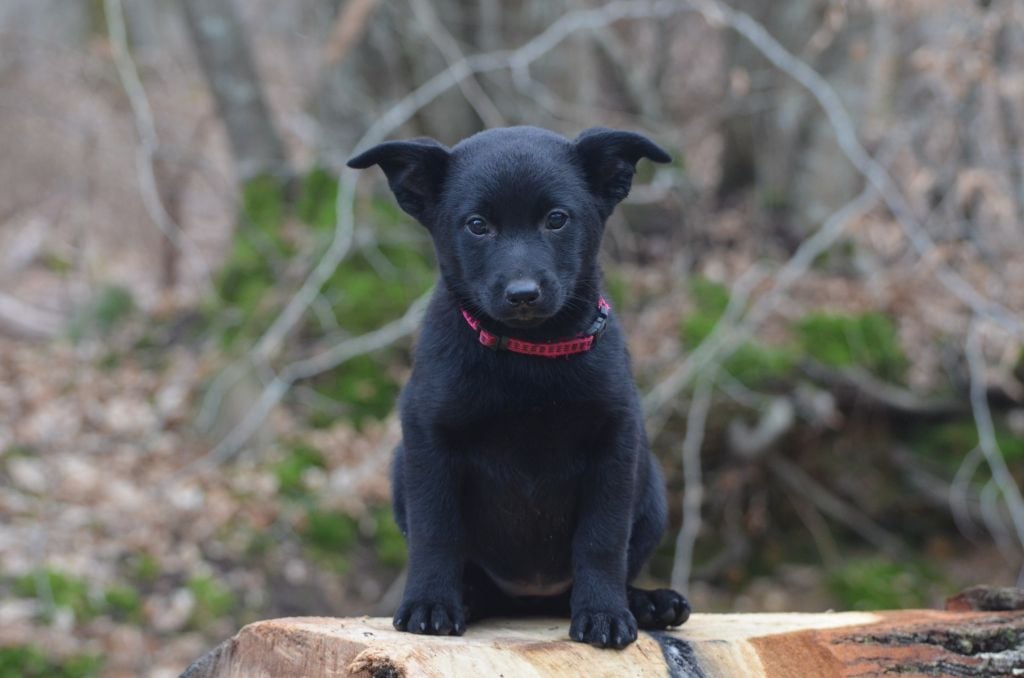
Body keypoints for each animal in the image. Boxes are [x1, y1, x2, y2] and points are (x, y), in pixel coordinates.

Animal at [348, 124, 692, 651]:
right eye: (476, 225)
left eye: (556, 219)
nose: (523, 294)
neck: (530, 357)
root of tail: (531, 596)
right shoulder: (427, 437)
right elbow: (436, 531)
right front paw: (430, 603)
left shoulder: (616, 439)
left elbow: (603, 538)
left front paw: (604, 613)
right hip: (400, 469)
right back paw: (466, 598)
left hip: (650, 487)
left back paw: (648, 602)